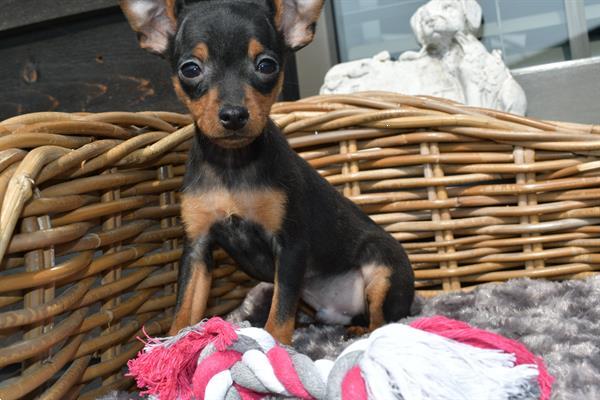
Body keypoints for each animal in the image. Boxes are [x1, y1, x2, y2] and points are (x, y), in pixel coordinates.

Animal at [119, 0, 414, 344]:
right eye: (190, 69)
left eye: (267, 65)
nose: (234, 114)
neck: (232, 165)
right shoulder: (197, 249)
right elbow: (184, 311)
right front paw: (168, 346)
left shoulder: (290, 247)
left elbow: (280, 315)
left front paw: (275, 347)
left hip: (383, 269)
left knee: (384, 323)